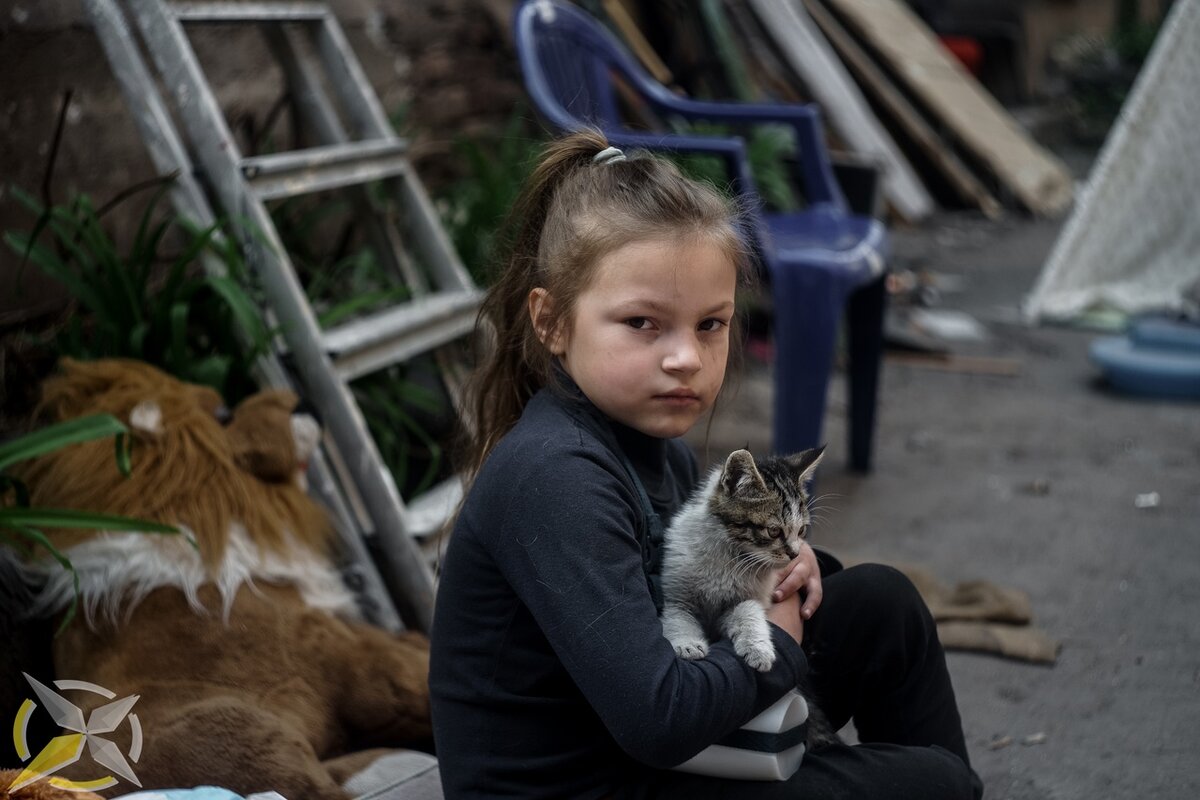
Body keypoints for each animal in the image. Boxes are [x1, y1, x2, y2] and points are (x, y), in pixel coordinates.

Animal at [662, 448, 840, 748]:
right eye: (774, 531)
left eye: (802, 531)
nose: (795, 554)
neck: (732, 558)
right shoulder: (675, 592)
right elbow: (678, 617)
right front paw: (687, 645)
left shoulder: (747, 598)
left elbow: (748, 611)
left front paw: (759, 650)